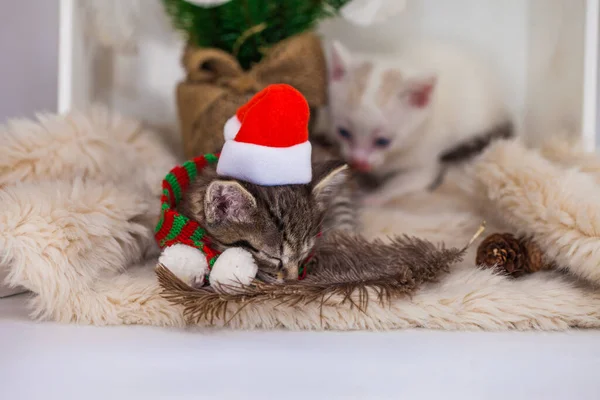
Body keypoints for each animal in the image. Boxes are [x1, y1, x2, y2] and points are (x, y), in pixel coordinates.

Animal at [326, 39, 512, 206]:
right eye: (343, 132)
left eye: (383, 141)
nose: (359, 162)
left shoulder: (426, 156)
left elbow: (410, 180)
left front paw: (374, 197)